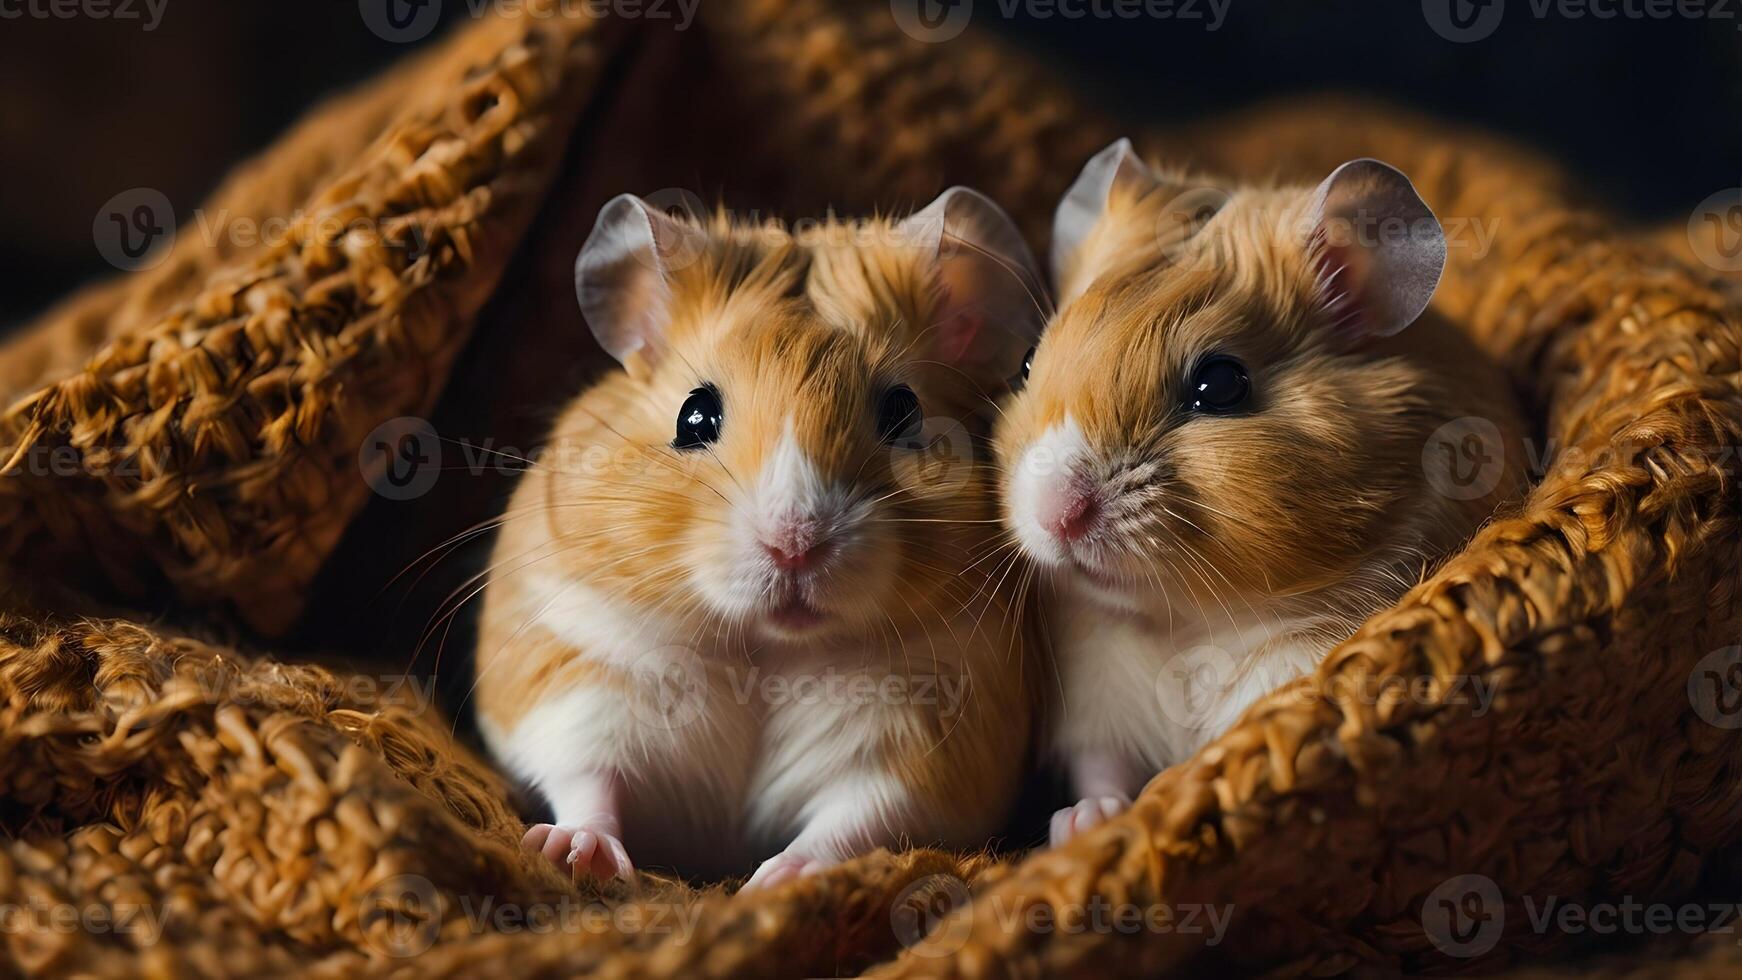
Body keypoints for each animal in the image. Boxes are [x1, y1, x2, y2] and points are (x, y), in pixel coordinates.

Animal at [477, 184, 1038, 891]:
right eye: (694, 415)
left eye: (904, 412)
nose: (793, 543)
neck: (767, 649)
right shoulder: (573, 674)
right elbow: (585, 776)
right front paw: (574, 854)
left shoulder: (931, 741)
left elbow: (856, 816)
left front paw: (769, 882)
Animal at [996, 140, 1525, 852]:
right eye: (1027, 362)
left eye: (1219, 385)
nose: (1056, 515)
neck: (1182, 622)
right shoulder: (1092, 698)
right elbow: (1101, 769)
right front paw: (1083, 824)